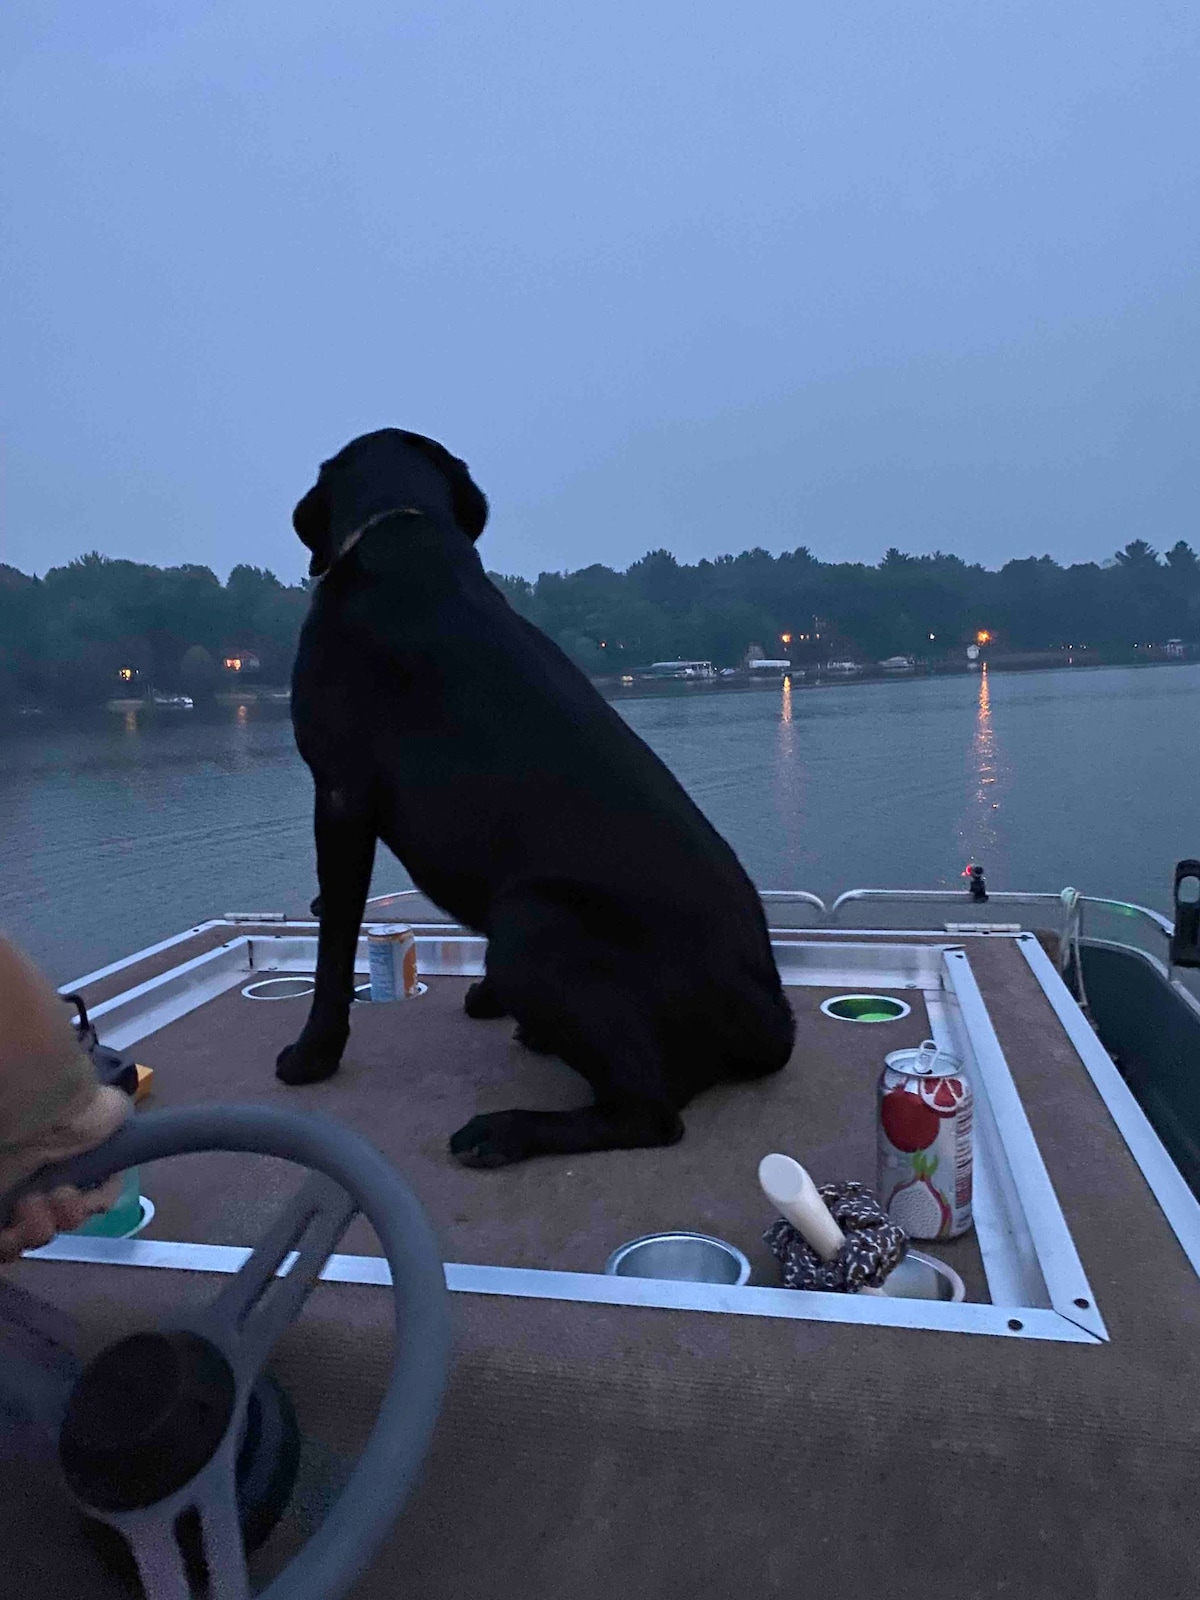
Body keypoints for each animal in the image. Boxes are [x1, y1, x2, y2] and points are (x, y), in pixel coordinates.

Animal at [276, 432, 793, 1171]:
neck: (407, 531)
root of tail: (771, 1022)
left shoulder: (341, 793)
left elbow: (333, 941)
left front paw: (314, 1052)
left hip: (531, 920)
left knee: (648, 1113)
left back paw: (506, 1131)